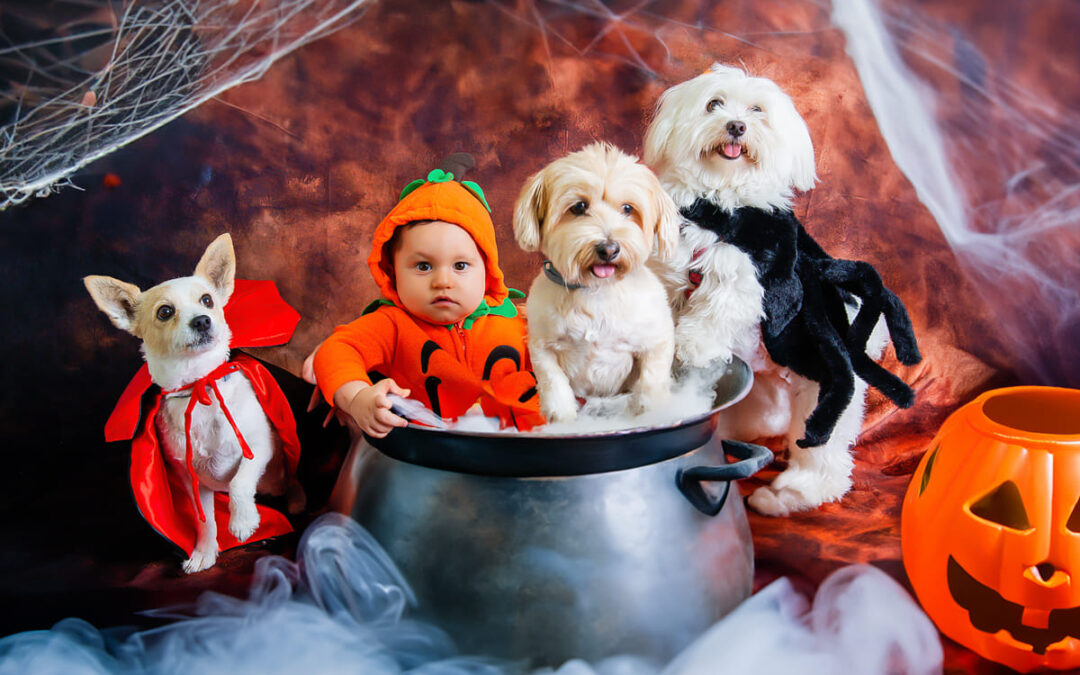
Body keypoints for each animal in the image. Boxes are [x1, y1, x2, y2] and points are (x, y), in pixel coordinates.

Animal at [82, 234, 304, 570]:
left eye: (207, 300)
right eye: (164, 312)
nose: (202, 320)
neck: (199, 385)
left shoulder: (259, 445)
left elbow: (240, 481)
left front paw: (242, 521)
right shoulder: (192, 480)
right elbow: (205, 520)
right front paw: (204, 552)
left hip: (278, 476)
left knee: (287, 485)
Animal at [511, 143, 678, 421]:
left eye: (628, 209)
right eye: (578, 207)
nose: (608, 248)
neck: (595, 292)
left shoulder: (657, 340)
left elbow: (651, 380)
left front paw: (653, 412)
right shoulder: (542, 346)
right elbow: (553, 381)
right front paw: (562, 416)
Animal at [643, 64, 915, 516]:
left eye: (757, 110)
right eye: (714, 104)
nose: (736, 126)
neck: (720, 208)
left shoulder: (756, 271)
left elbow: (717, 306)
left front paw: (694, 345)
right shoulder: (668, 269)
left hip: (821, 394)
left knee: (822, 455)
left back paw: (792, 494)